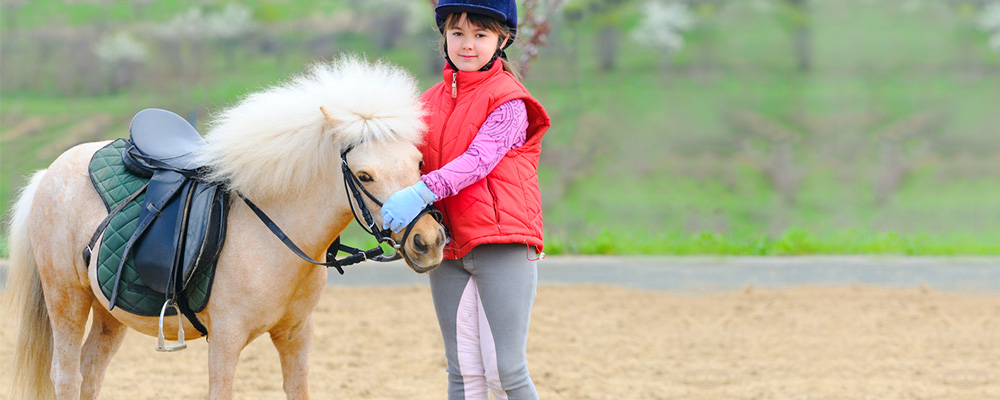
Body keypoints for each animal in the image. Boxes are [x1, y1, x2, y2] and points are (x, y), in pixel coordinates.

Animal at [2, 56, 450, 400]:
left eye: (418, 162)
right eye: (364, 174)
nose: (428, 241)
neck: (274, 235)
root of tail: (51, 171)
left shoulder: (296, 334)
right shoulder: (225, 339)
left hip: (109, 312)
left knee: (90, 373)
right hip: (66, 298)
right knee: (66, 376)